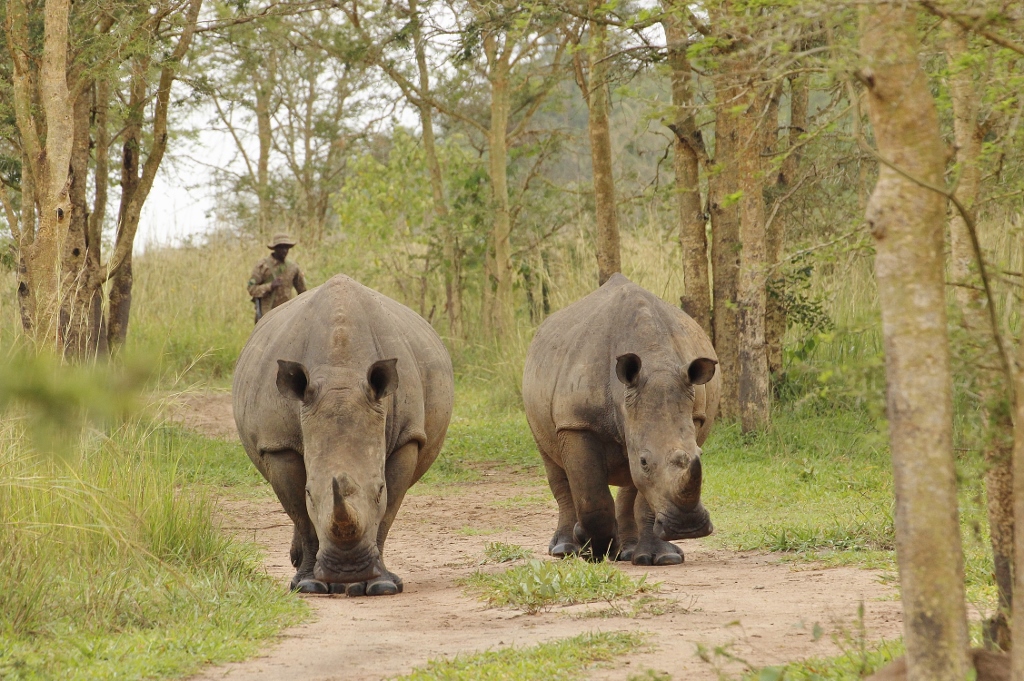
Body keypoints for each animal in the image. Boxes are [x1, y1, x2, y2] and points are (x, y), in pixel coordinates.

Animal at [237, 274, 454, 593]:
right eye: (310, 492)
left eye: (379, 489)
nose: (347, 571)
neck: (341, 373)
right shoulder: (278, 443)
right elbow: (300, 513)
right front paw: (309, 585)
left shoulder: (407, 436)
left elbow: (388, 512)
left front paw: (381, 586)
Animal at [520, 270, 720, 561]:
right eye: (645, 461)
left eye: (701, 455)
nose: (687, 527)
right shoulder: (576, 423)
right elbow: (592, 496)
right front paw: (593, 548)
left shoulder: (691, 415)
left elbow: (644, 494)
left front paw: (662, 559)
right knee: (554, 465)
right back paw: (565, 550)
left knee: (628, 483)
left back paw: (627, 552)